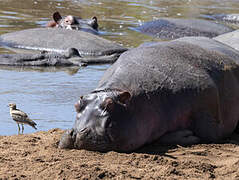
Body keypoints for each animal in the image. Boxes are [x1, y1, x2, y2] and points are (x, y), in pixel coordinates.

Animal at [58, 36, 239, 152]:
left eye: (110, 105)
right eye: (77, 104)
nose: (78, 133)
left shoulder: (207, 110)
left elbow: (208, 134)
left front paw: (190, 136)